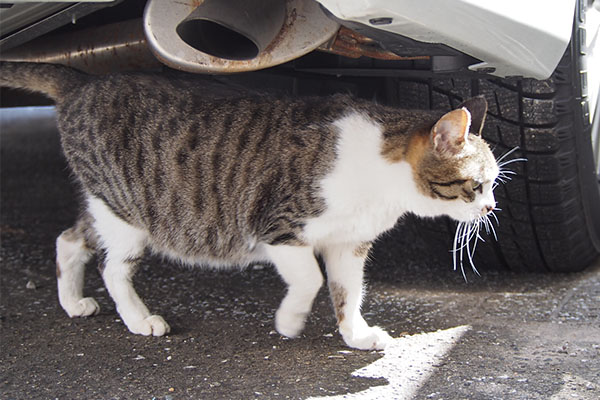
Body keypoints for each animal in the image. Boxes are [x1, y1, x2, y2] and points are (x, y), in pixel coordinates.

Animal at [0, 60, 496, 350]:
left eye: (494, 185)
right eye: (477, 185)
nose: (490, 209)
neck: (381, 174)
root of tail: (84, 84)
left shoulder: (349, 244)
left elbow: (348, 292)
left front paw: (354, 334)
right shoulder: (278, 228)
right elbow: (311, 280)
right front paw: (290, 321)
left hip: (109, 206)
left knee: (69, 240)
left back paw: (72, 302)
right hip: (130, 217)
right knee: (112, 268)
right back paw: (140, 319)